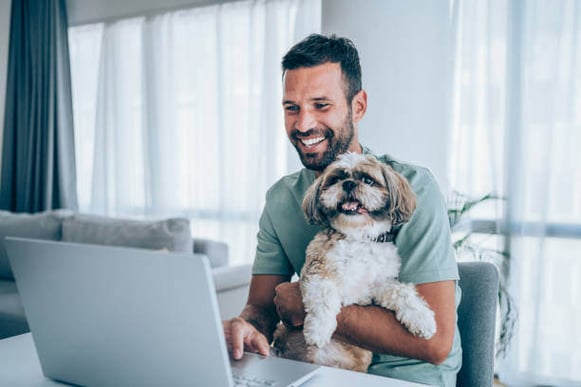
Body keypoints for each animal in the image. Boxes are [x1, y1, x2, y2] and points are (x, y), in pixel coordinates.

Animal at [272, 152, 436, 372]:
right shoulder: (318, 269)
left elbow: (402, 293)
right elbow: (324, 298)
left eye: (368, 180)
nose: (349, 183)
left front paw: (422, 319)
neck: (358, 237)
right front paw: (318, 330)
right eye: (336, 179)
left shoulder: (379, 285)